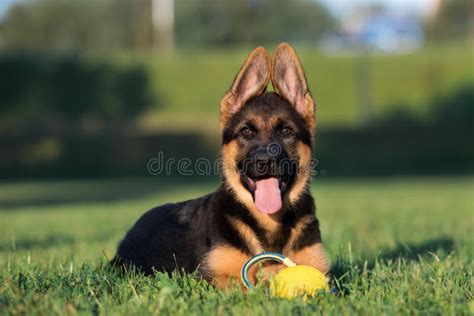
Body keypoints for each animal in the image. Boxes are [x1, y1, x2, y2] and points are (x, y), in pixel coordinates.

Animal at [114, 42, 330, 288]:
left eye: (286, 131)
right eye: (246, 131)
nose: (264, 161)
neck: (269, 225)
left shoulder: (320, 270)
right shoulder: (215, 277)